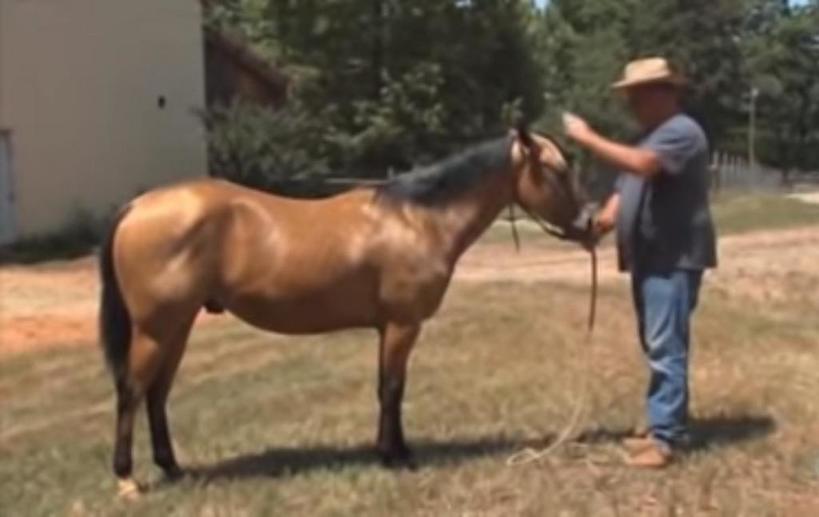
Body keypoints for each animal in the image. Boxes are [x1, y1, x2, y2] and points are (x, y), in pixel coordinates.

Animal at [99, 126, 592, 496]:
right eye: (556, 170)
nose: (590, 223)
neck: (416, 220)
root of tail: (137, 206)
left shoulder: (389, 327)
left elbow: (389, 388)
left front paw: (394, 451)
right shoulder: (402, 325)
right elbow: (391, 388)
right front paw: (395, 457)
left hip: (177, 326)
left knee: (157, 394)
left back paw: (172, 468)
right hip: (155, 328)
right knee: (131, 391)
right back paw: (127, 479)